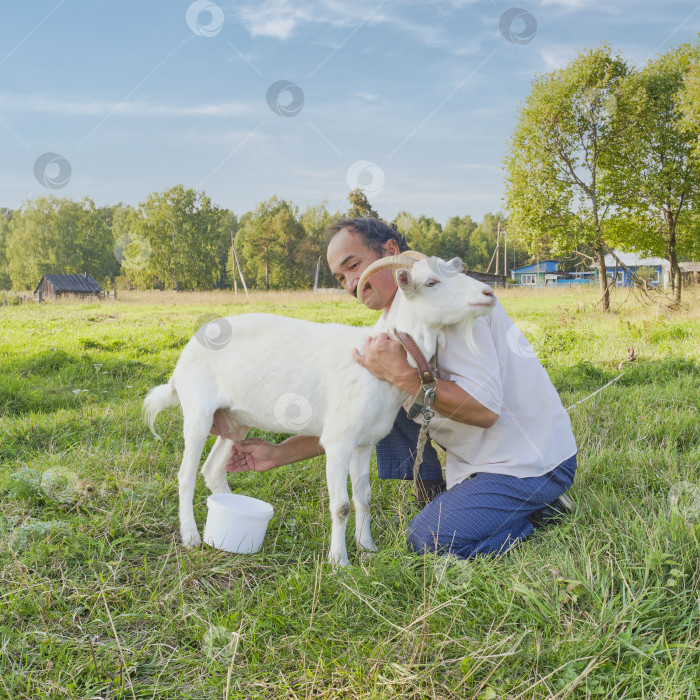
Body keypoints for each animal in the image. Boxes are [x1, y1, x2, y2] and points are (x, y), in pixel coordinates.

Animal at [142, 254, 494, 568]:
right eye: (432, 282)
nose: (489, 294)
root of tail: (181, 362)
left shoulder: (364, 443)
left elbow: (364, 498)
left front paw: (367, 548)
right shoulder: (338, 442)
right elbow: (340, 505)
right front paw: (339, 561)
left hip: (234, 420)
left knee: (212, 470)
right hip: (198, 413)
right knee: (186, 475)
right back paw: (191, 537)